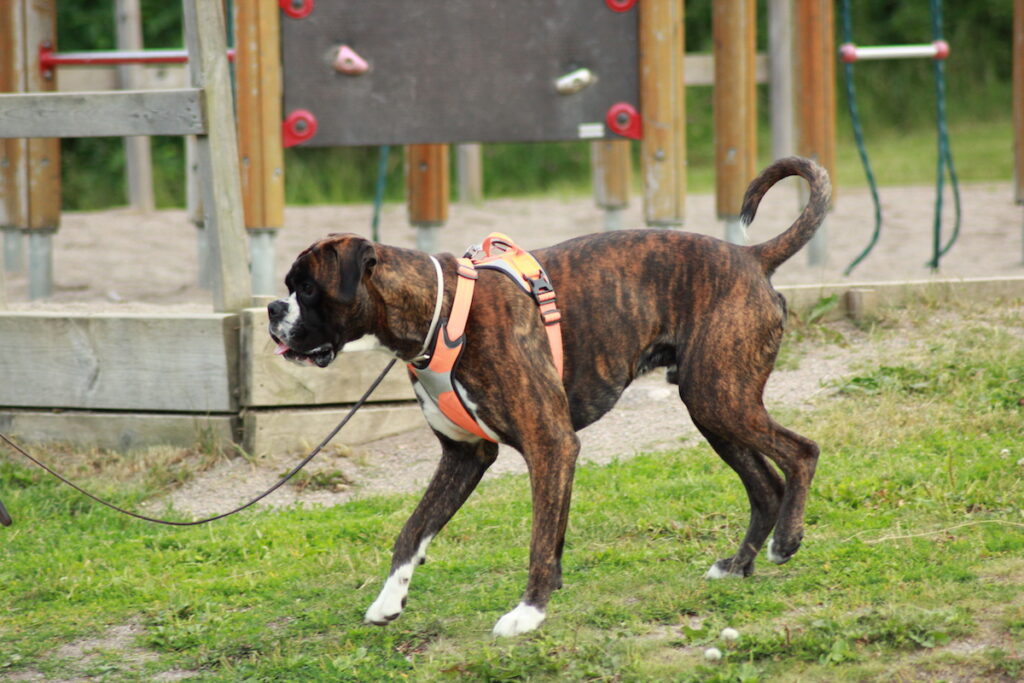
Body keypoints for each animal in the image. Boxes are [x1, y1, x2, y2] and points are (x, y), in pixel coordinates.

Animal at [266, 157, 831, 638]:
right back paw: (738, 565)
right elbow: (413, 531)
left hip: (720, 398)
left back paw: (786, 541)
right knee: (765, 486)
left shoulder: (550, 446)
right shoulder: (465, 456)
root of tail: (750, 256)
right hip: (712, 409)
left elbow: (540, 540)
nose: (273, 309)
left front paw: (529, 613)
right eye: (289, 286)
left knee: (802, 452)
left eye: (308, 289)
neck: (442, 311)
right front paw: (389, 600)